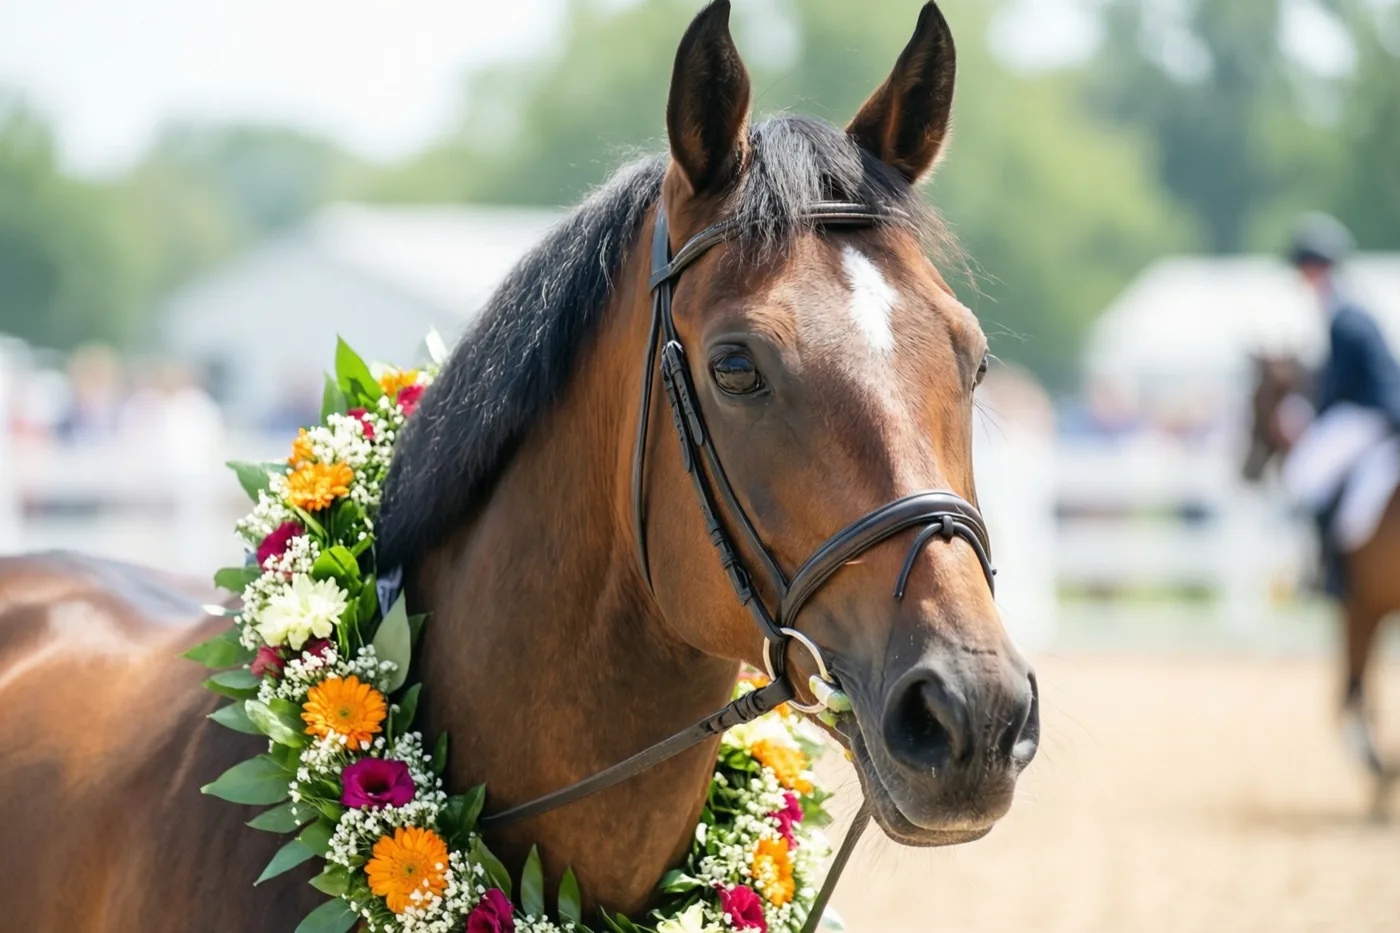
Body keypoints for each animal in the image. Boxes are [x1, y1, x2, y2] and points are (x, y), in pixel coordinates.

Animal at [1244, 352, 1396, 802]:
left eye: (1257, 396)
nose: (1245, 467)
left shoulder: (1358, 607)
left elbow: (1350, 691)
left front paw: (1378, 769)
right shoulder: (1368, 609)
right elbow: (1356, 691)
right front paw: (1382, 770)